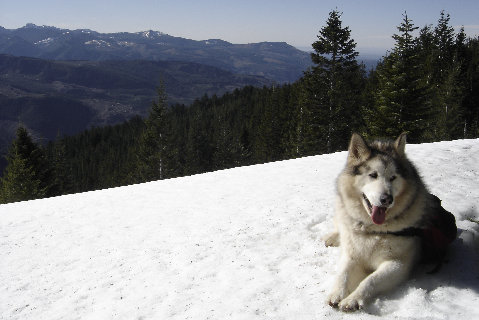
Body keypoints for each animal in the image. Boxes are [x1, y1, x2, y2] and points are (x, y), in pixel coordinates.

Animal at [324, 132, 456, 312]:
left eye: (393, 178)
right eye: (373, 175)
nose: (387, 199)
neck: (373, 229)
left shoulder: (397, 264)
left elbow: (370, 280)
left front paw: (353, 299)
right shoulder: (351, 255)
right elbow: (342, 274)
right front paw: (336, 293)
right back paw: (333, 237)